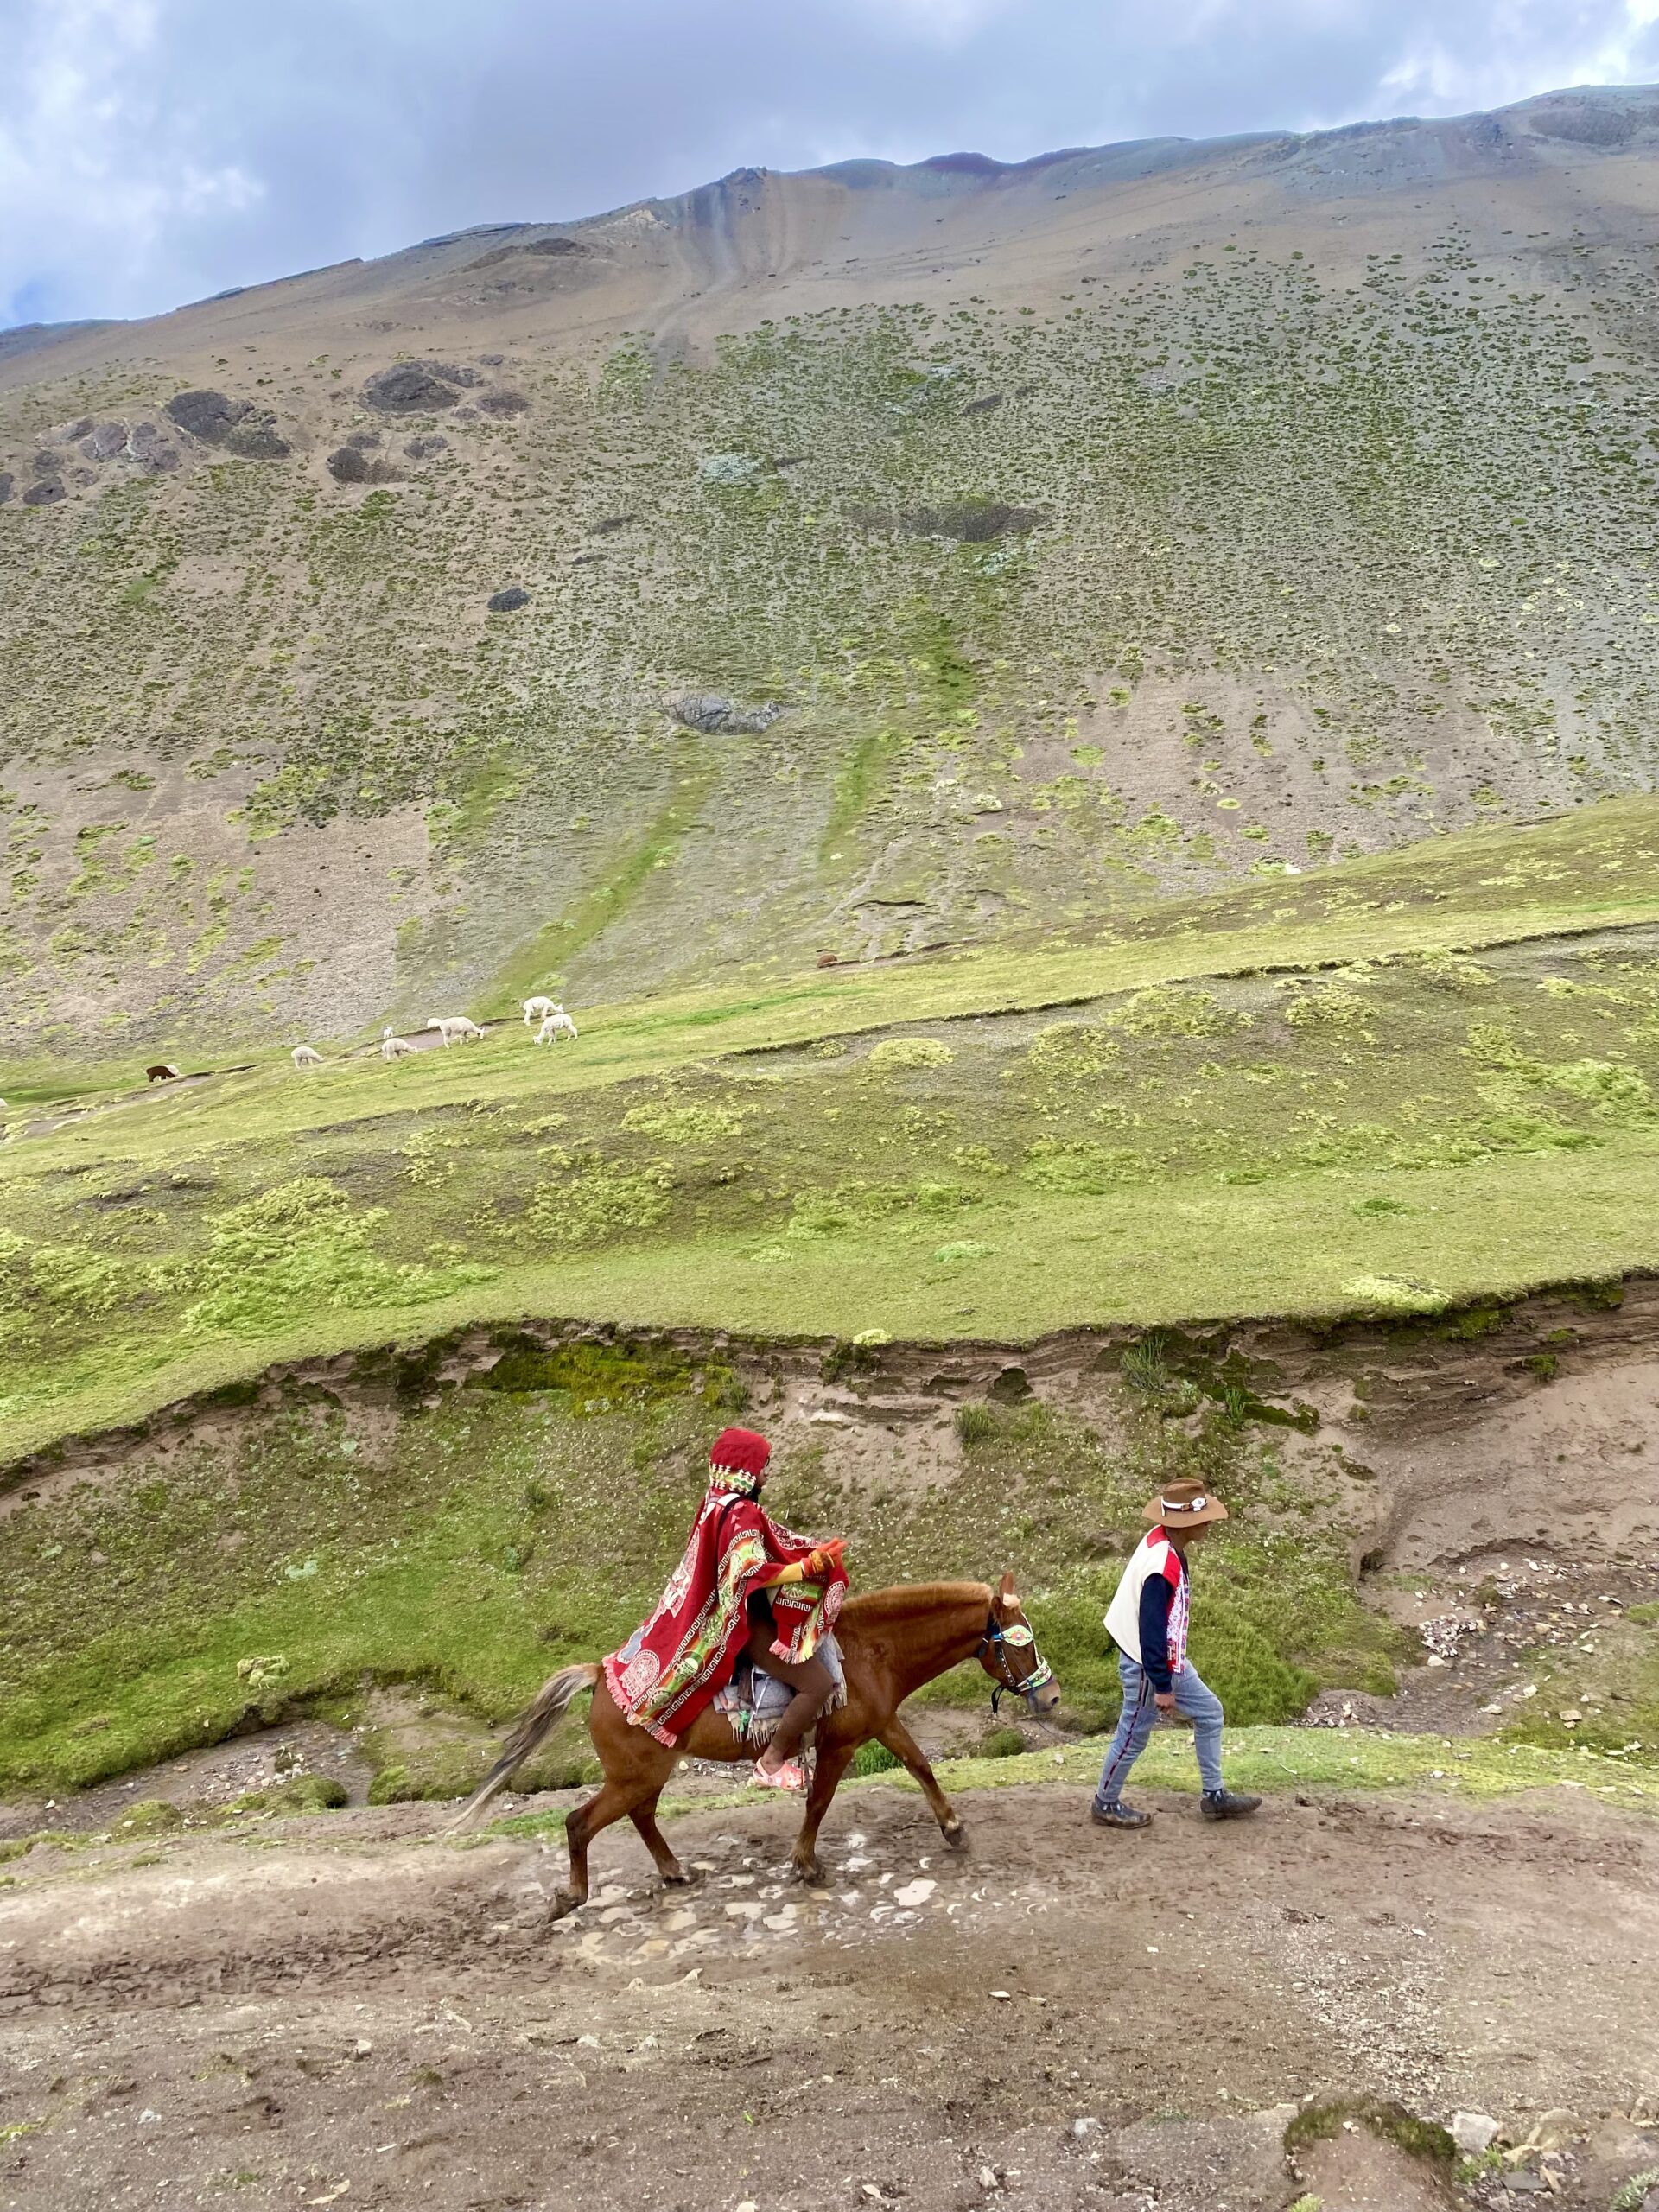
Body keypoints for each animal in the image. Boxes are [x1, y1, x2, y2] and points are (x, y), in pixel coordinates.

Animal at [455, 1574, 1057, 1920]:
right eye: (1022, 1642)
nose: (1050, 1696)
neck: (870, 1652)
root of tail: (601, 1676)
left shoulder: (882, 1724)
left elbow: (920, 1764)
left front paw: (954, 1829)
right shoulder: (839, 1744)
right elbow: (820, 1801)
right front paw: (806, 1864)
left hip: (646, 1773)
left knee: (641, 1817)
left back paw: (674, 1871)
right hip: (632, 1776)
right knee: (581, 1823)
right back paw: (571, 1896)